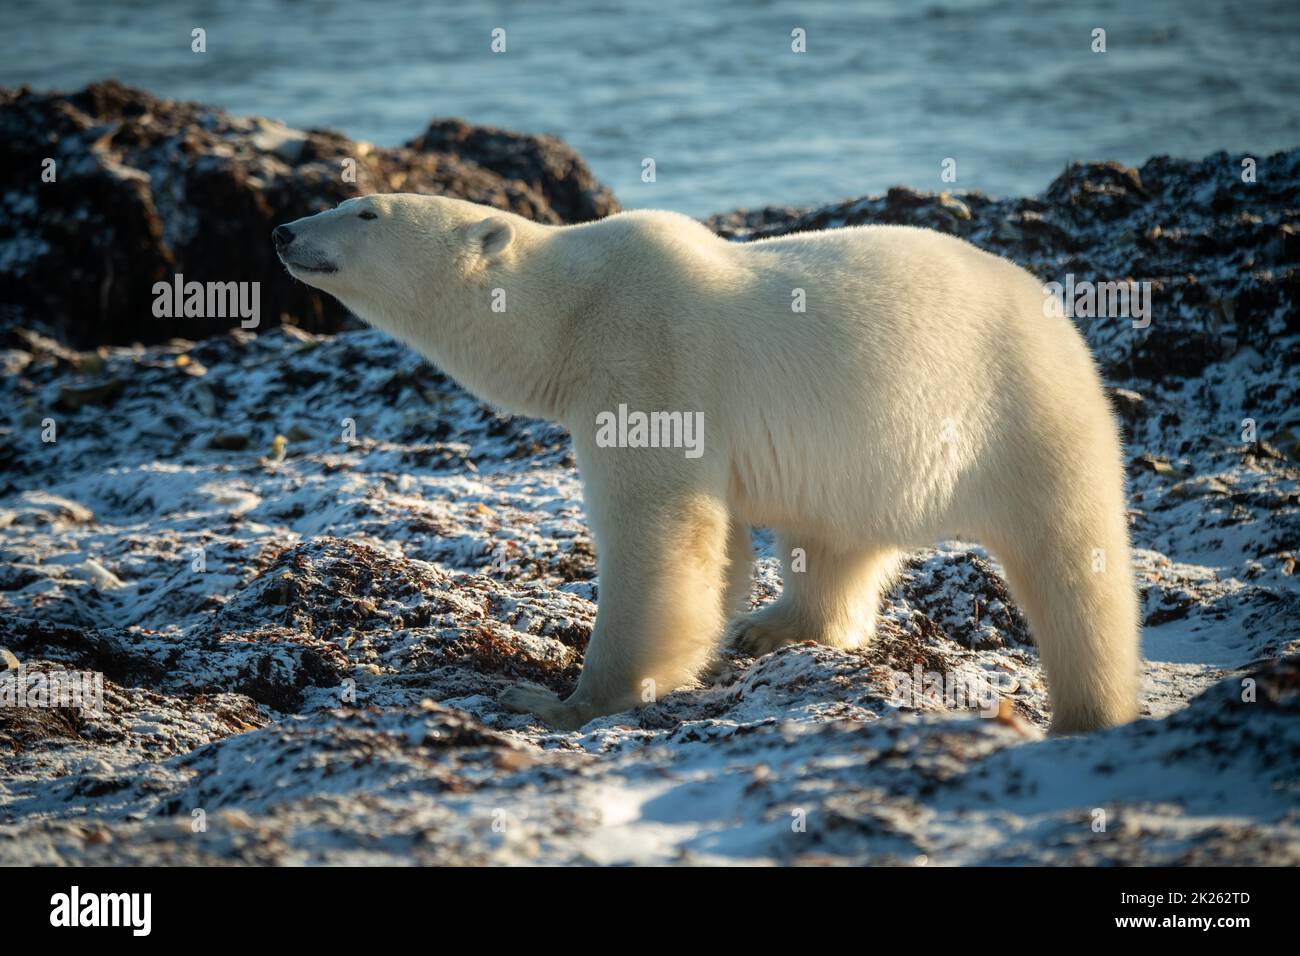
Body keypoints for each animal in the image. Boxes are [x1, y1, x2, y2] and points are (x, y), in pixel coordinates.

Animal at [274, 193, 1141, 734]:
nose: (283, 230)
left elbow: (657, 533)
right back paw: (776, 626)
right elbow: (715, 543)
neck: (573, 307)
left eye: (366, 209)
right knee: (833, 541)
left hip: (1021, 409)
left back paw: (1087, 711)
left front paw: (562, 702)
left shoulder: (649, 356)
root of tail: (1057, 312)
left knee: (1073, 565)